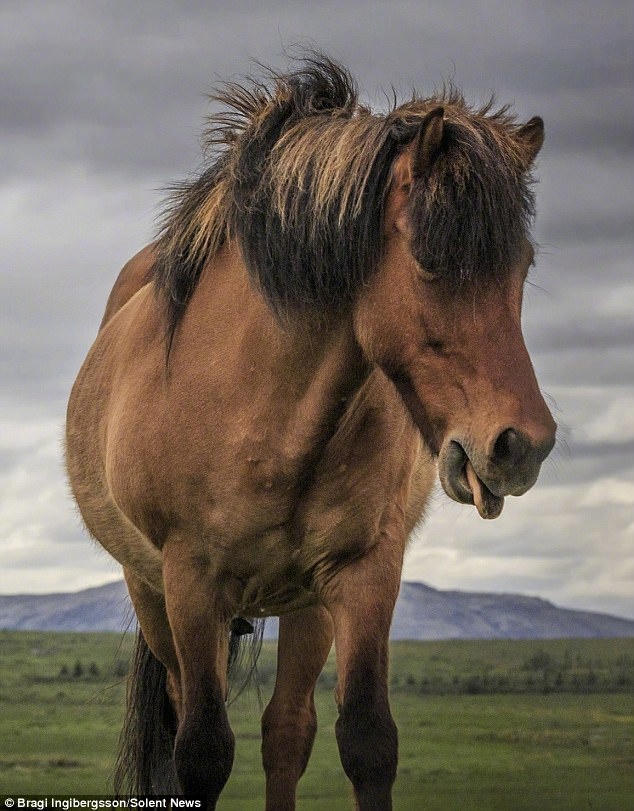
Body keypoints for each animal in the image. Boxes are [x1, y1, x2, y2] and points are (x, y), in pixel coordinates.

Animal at [66, 54, 556, 808]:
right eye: (429, 259)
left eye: (522, 265)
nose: (520, 445)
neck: (266, 411)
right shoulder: (190, 584)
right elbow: (201, 752)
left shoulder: (364, 573)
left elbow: (367, 741)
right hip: (151, 595)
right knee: (183, 719)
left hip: (306, 606)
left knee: (287, 730)